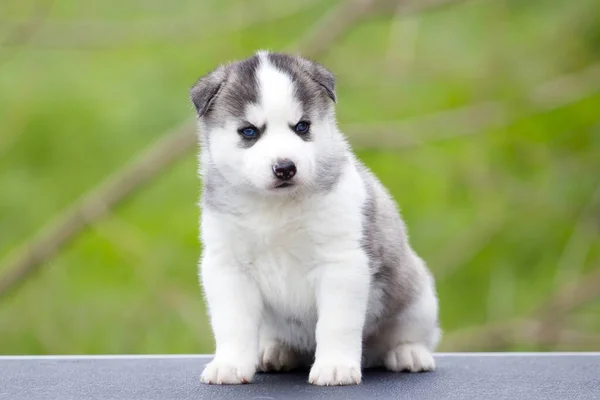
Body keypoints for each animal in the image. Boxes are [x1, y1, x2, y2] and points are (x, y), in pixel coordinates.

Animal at [191, 50, 440, 384]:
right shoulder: (228, 266)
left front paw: (335, 367)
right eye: (249, 132)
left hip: (417, 297)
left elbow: (335, 325)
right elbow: (233, 324)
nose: (285, 168)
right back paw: (275, 351)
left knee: (412, 334)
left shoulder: (341, 263)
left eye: (302, 127)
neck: (276, 208)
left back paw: (408, 353)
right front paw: (229, 365)